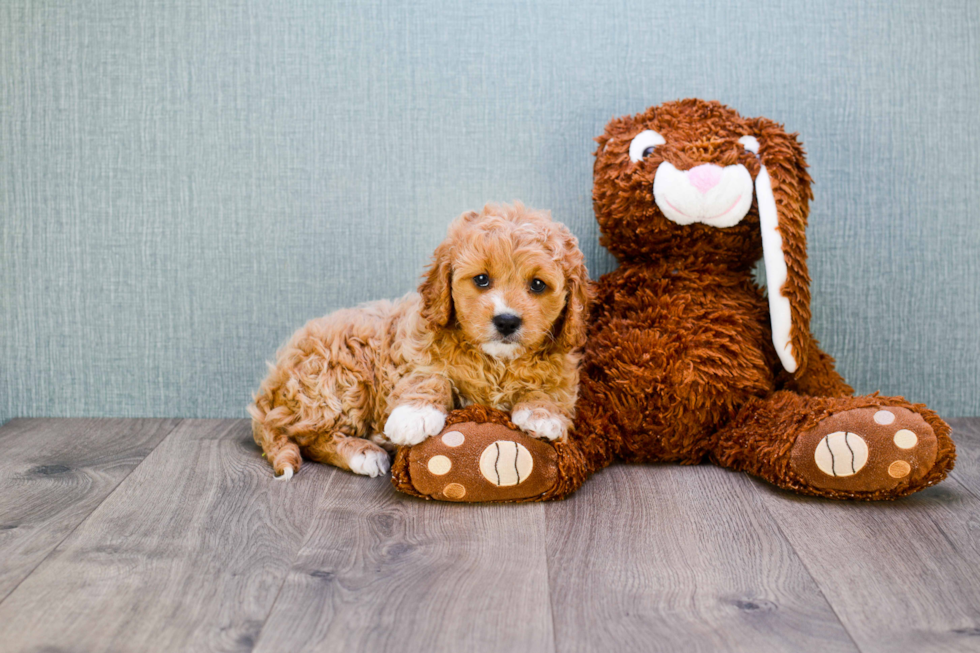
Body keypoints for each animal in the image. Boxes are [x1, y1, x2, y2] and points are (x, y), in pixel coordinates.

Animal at [249, 202, 592, 478]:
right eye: (482, 279)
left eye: (538, 285)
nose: (506, 321)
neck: (495, 361)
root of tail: (270, 386)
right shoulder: (415, 350)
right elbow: (430, 377)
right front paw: (414, 415)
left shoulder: (563, 365)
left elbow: (550, 387)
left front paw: (542, 414)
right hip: (337, 375)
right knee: (308, 437)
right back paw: (364, 453)